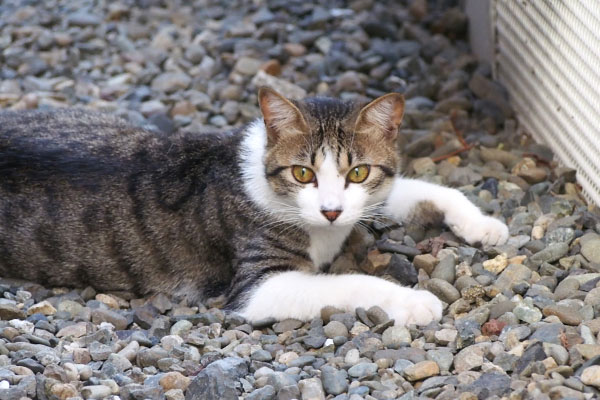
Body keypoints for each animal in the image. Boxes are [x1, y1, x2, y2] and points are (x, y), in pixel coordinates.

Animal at [0, 87, 508, 324]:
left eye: (358, 173)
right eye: (302, 174)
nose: (330, 210)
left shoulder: (368, 199)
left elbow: (414, 188)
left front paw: (483, 223)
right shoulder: (257, 283)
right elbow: (348, 282)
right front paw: (413, 300)